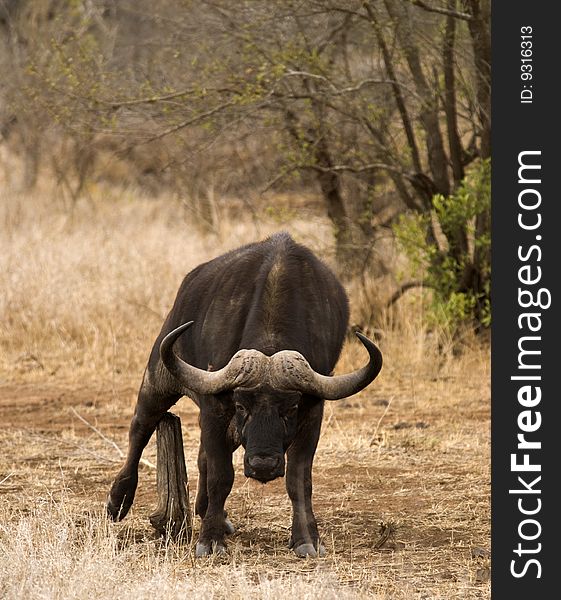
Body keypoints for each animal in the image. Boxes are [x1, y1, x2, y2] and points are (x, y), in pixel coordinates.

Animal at [106, 231, 380, 556]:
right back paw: (118, 500)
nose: (263, 464)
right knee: (140, 429)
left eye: (290, 408)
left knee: (200, 455)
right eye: (241, 406)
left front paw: (306, 539)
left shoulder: (312, 415)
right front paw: (209, 540)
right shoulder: (215, 409)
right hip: (158, 377)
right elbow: (221, 475)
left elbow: (298, 480)